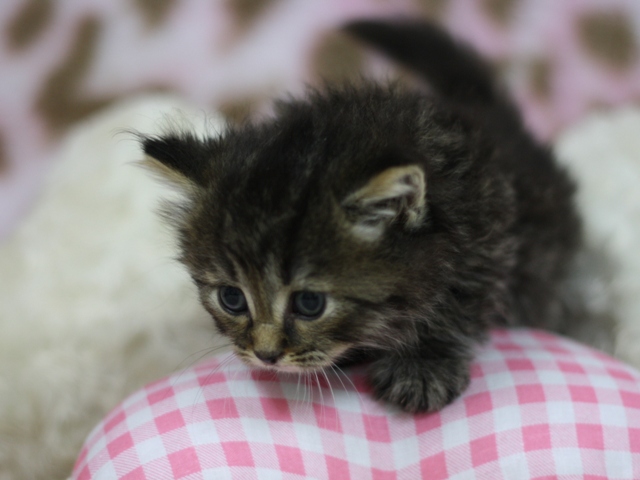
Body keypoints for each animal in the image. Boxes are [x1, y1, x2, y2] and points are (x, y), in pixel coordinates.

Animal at [142, 20, 584, 412]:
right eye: (231, 298)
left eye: (309, 304)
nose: (266, 356)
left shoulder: (489, 232)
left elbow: (461, 301)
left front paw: (423, 365)